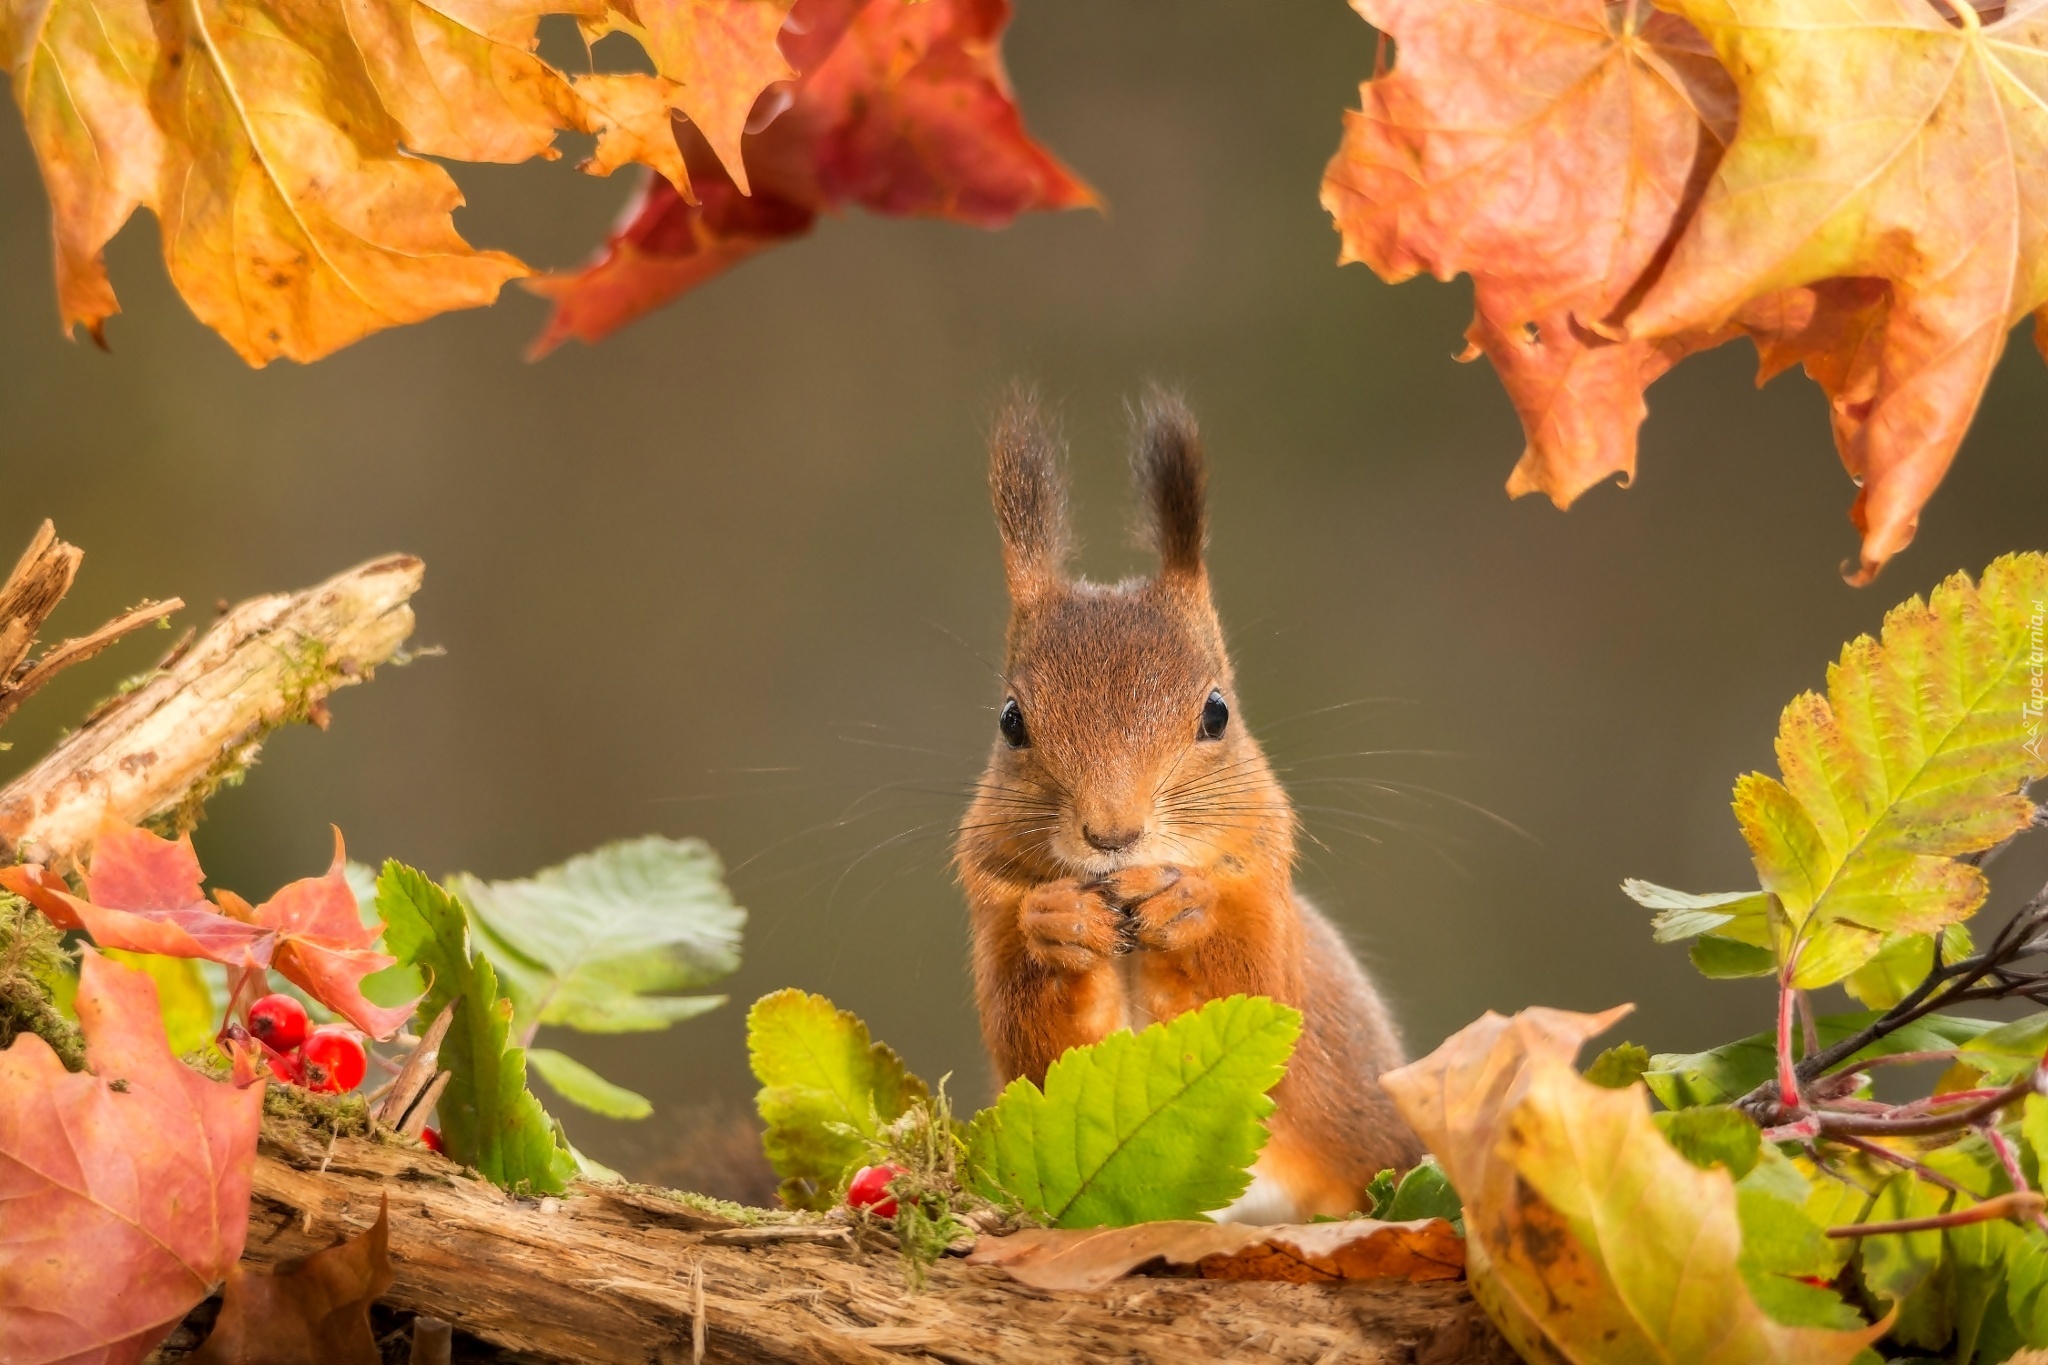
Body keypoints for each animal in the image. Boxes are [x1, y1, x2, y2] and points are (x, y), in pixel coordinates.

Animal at [950, 388, 1417, 1219]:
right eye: (1011, 721)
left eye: (1216, 712)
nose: (1112, 833)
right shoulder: (993, 913)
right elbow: (1042, 1049)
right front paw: (1057, 921)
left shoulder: (1266, 901)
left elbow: (1255, 990)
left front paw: (1185, 903)